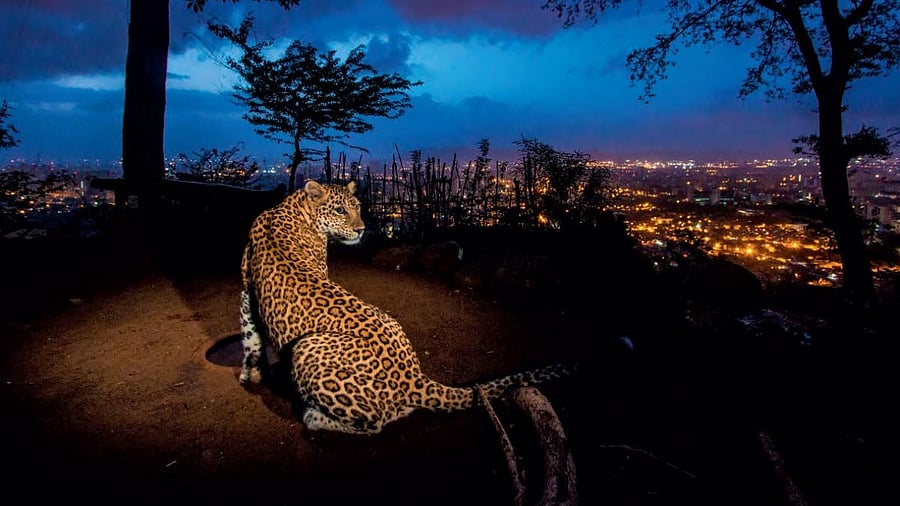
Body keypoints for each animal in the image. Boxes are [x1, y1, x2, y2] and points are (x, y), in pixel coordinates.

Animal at [239, 180, 574, 434]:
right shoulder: (246, 291)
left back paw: (314, 417)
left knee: (374, 422)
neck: (291, 208)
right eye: (340, 210)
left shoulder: (249, 292)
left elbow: (250, 336)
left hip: (306, 347)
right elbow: (251, 337)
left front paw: (253, 374)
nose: (361, 229)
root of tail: (414, 377)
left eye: (358, 207)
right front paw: (254, 373)